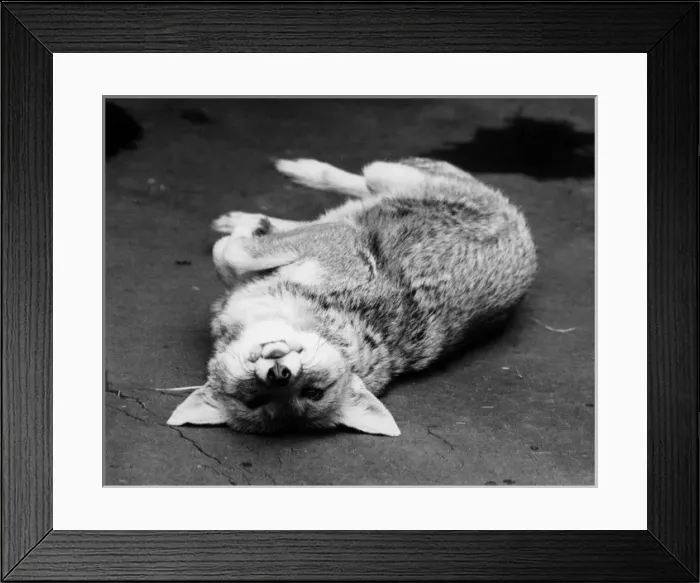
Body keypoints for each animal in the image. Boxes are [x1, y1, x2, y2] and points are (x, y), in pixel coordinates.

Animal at [166, 157, 537, 436]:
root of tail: (523, 225)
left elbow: (229, 252)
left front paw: (248, 231)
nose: (279, 374)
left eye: (312, 392)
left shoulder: (333, 241)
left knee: (355, 183)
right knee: (354, 189)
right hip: (382, 177)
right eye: (254, 401)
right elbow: (231, 258)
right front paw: (252, 227)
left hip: (384, 172)